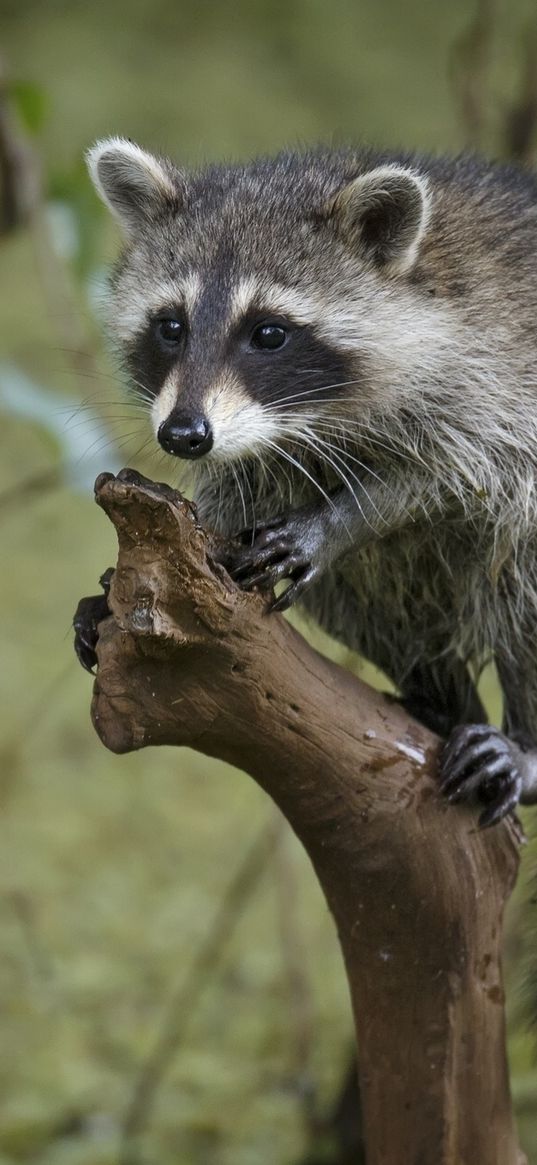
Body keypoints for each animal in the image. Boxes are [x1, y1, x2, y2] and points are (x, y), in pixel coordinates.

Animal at [77, 136, 537, 829]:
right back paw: (442, 696)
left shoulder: (495, 377)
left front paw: (340, 520)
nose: (182, 436)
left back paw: (526, 744)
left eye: (269, 332)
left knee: (518, 573)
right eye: (171, 326)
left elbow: (457, 478)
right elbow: (239, 489)